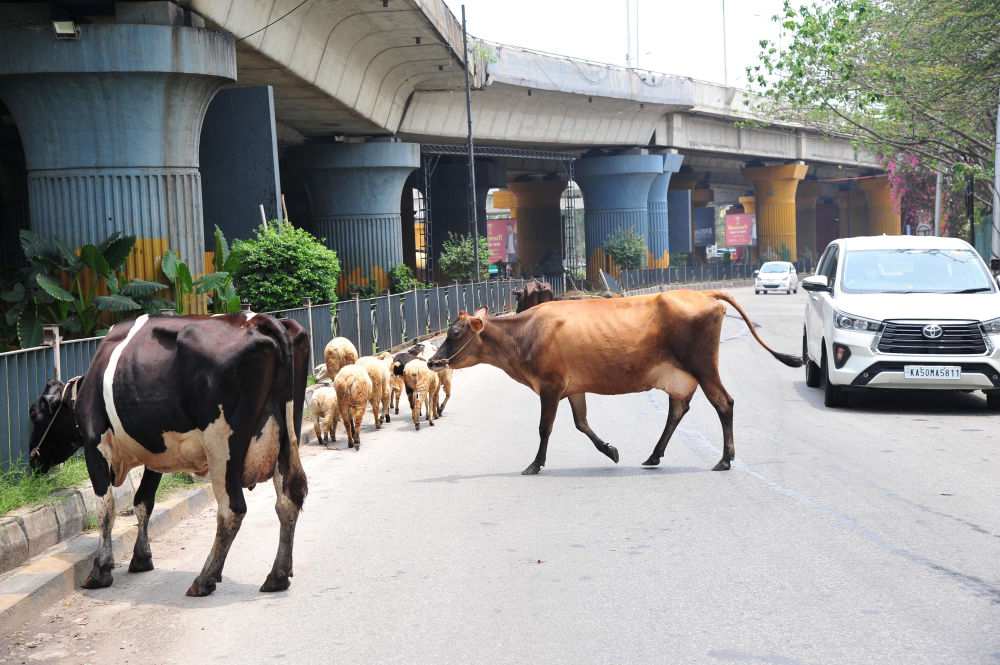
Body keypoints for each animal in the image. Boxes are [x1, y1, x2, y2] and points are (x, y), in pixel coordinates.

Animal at [27, 312, 308, 596]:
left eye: (33, 413)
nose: (33, 460)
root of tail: (258, 320)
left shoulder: (95, 446)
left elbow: (106, 509)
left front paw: (100, 570)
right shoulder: (155, 454)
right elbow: (143, 502)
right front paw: (141, 558)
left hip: (222, 446)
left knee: (232, 509)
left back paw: (205, 579)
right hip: (287, 434)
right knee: (289, 498)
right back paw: (277, 576)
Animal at [428, 290, 796, 472]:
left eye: (455, 332)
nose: (432, 362)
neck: (525, 334)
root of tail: (704, 295)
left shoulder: (550, 386)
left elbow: (545, 428)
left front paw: (535, 463)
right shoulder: (573, 388)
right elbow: (582, 424)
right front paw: (610, 450)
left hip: (704, 367)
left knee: (723, 403)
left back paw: (724, 459)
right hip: (681, 375)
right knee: (678, 410)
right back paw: (653, 456)